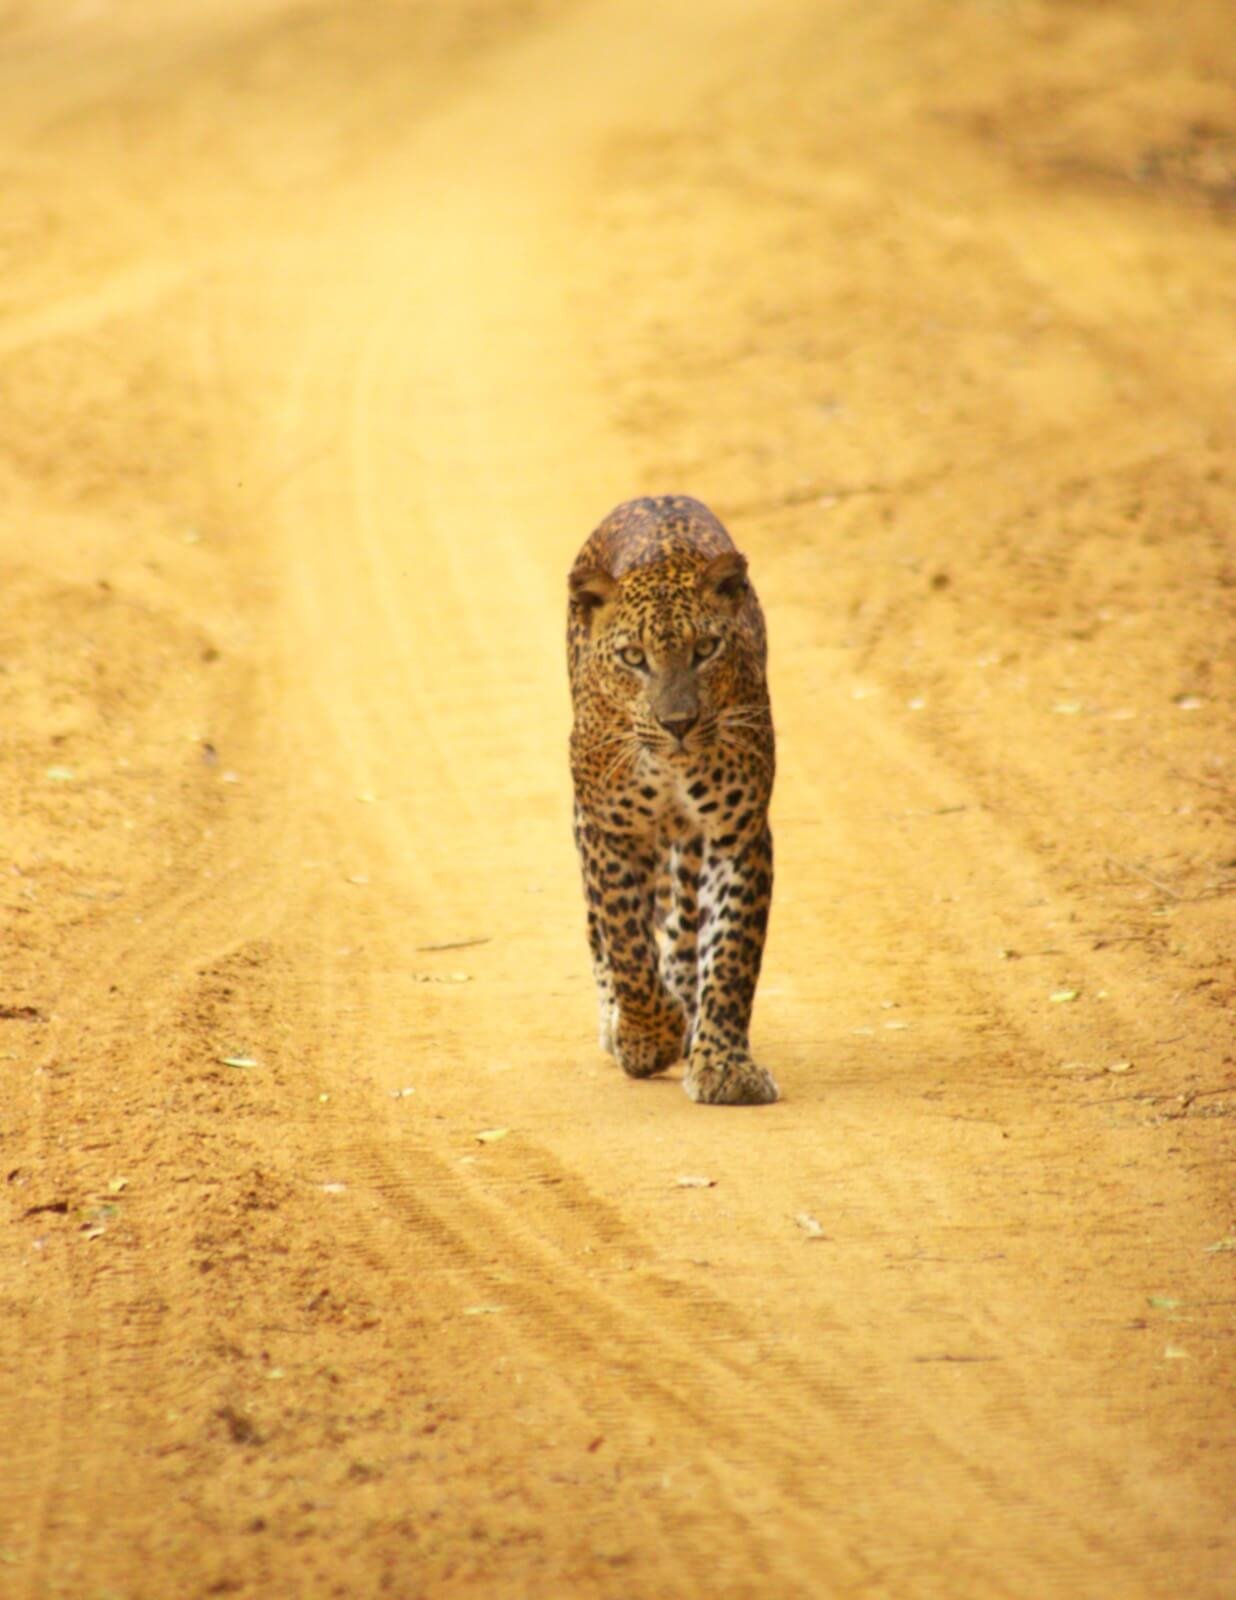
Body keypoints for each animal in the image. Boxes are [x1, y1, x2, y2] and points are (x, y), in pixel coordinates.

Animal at [567, 494, 778, 1106]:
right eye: (634, 657)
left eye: (705, 649)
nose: (678, 723)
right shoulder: (612, 830)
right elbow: (627, 944)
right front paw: (647, 1037)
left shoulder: (738, 833)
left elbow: (731, 953)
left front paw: (724, 1066)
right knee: (599, 925)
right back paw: (622, 1021)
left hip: (689, 841)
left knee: (684, 921)